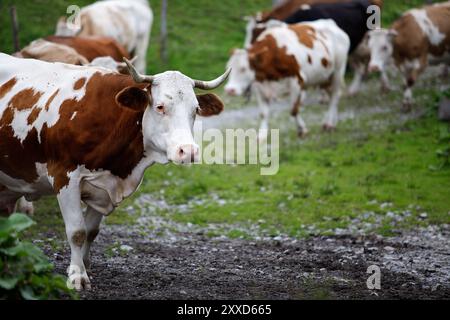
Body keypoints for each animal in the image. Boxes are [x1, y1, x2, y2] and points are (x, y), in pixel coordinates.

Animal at [0, 53, 230, 290]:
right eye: (160, 107)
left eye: (196, 109)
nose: (188, 151)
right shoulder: (64, 177)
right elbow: (77, 231)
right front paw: (77, 275)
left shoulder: (103, 186)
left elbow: (91, 231)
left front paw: (86, 265)